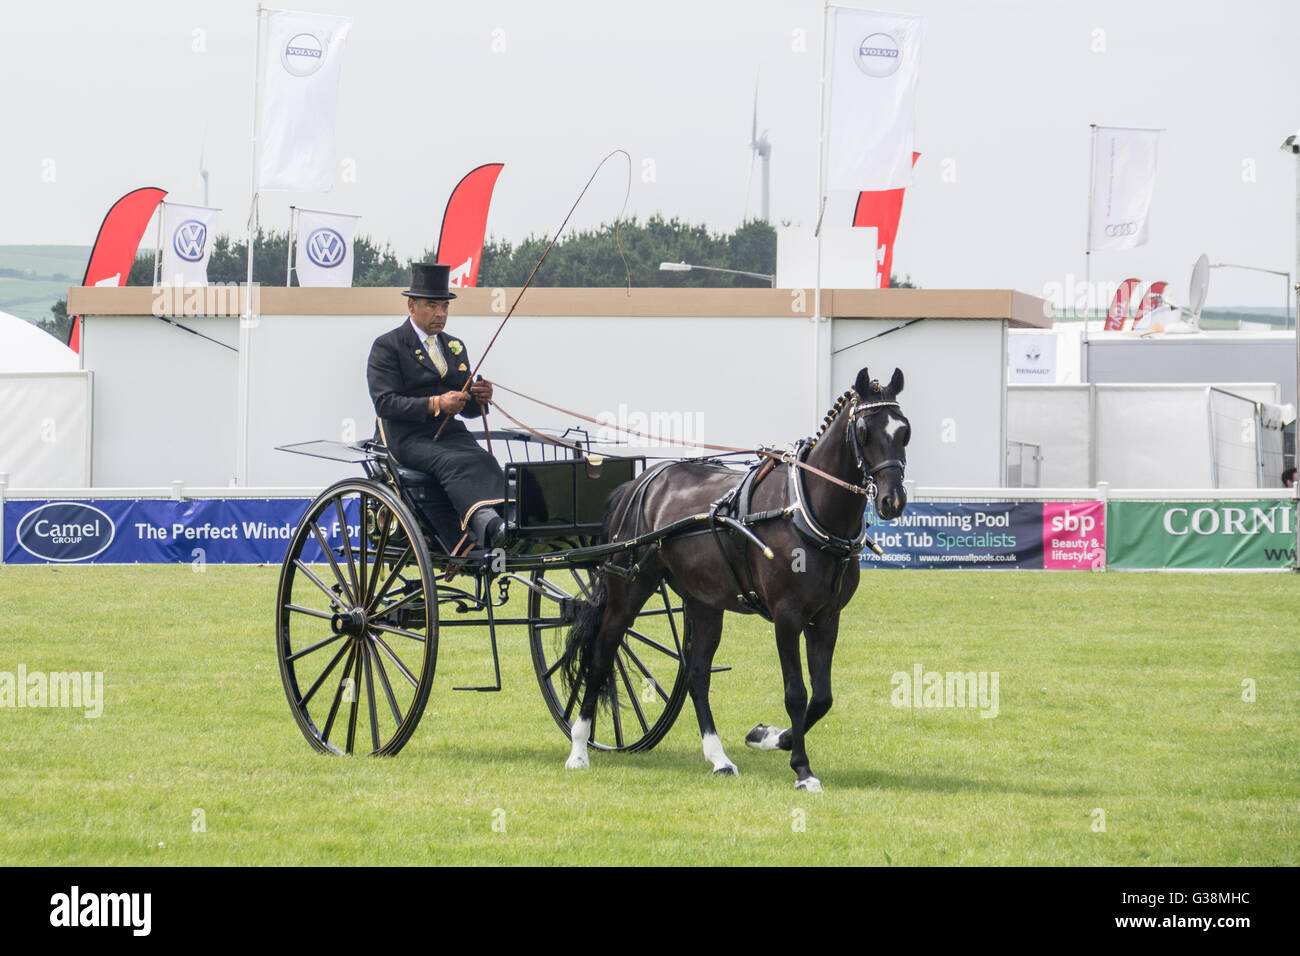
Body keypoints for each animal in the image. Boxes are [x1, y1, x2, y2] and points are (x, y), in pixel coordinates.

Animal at [561, 366, 915, 790]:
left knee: (696, 674)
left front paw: (770, 737)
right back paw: (579, 748)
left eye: (905, 430)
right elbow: (796, 693)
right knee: (601, 656)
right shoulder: (787, 616)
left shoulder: (827, 617)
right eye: (863, 430)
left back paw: (718, 758)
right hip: (629, 590)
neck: (804, 508)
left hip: (703, 602)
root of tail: (638, 483)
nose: (893, 501)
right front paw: (802, 769)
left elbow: (822, 697)